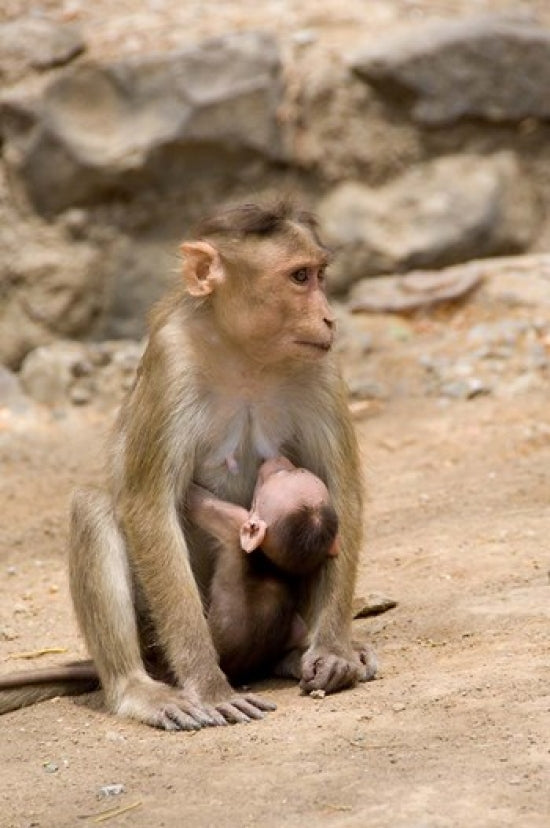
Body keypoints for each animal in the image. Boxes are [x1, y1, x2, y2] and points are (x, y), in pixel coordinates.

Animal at [187, 455, 340, 682]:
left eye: (281, 474)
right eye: (297, 471)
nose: (278, 458)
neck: (269, 564)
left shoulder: (234, 521)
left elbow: (196, 501)